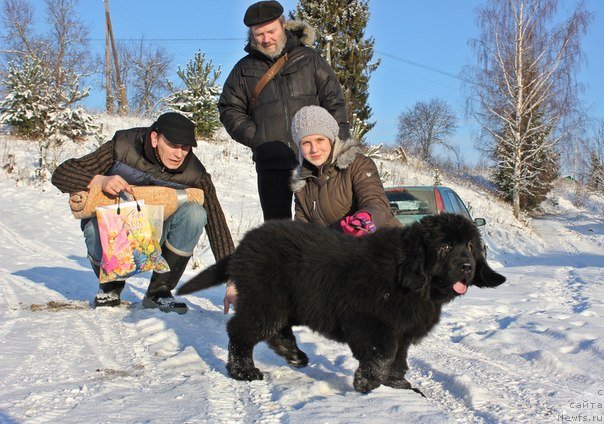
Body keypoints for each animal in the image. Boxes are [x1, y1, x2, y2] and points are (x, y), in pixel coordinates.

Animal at [178, 214, 504, 392]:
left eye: (470, 246)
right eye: (446, 246)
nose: (466, 266)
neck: (412, 278)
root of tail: (245, 243)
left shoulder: (403, 330)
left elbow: (399, 359)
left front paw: (397, 384)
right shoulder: (368, 321)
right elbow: (383, 353)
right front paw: (368, 382)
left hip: (287, 302)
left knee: (275, 329)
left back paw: (293, 354)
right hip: (266, 299)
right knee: (241, 331)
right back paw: (243, 371)